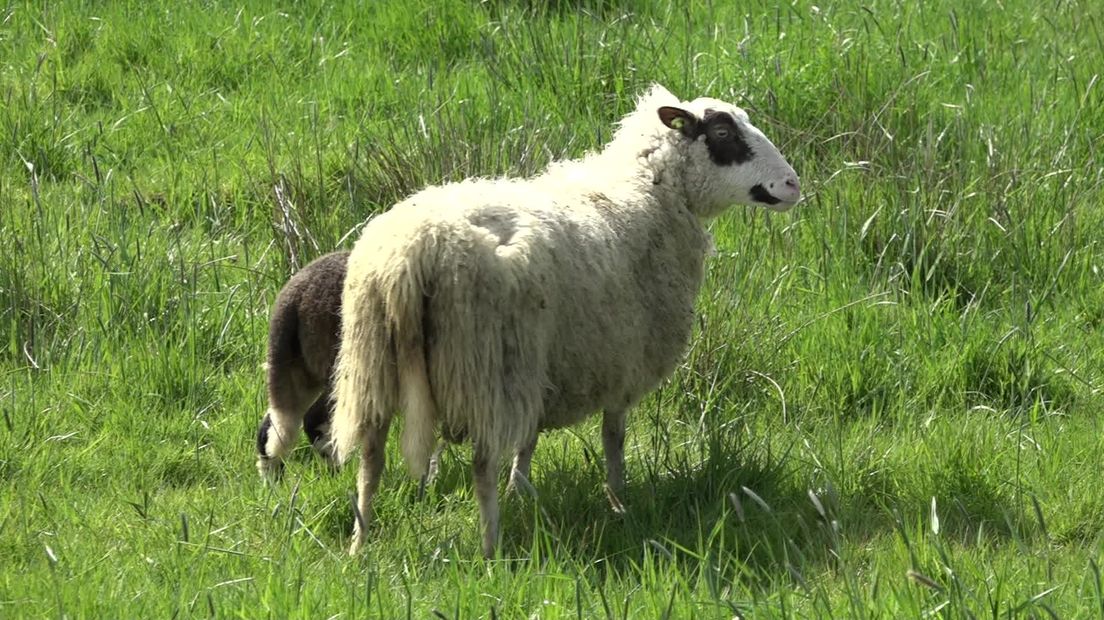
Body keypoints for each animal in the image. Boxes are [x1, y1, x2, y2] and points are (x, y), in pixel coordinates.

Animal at [326, 83, 803, 556]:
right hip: (486, 367)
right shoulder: (622, 358)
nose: (793, 184)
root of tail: (415, 252)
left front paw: (522, 488)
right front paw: (618, 501)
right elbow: (613, 436)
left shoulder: (548, 366)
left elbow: (529, 439)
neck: (650, 190)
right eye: (723, 133)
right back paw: (491, 547)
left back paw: (359, 544)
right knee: (481, 464)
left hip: (374, 366)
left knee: (371, 458)